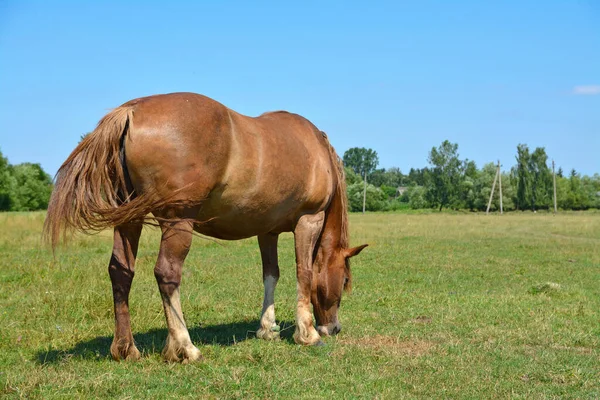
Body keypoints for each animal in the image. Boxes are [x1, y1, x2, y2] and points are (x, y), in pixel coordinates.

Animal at [43, 93, 366, 362]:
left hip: (128, 220)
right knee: (167, 274)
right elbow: (305, 273)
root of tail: (132, 110)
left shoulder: (267, 230)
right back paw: (184, 348)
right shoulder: (308, 220)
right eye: (345, 281)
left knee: (121, 272)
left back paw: (126, 349)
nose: (333, 328)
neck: (315, 149)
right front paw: (307, 333)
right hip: (177, 222)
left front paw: (267, 328)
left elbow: (271, 275)